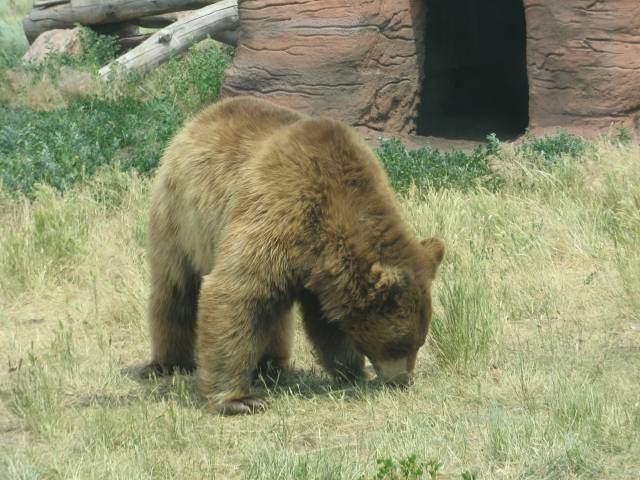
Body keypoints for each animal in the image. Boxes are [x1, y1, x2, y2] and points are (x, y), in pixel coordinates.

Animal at [144, 95, 444, 414]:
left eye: (420, 341)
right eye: (400, 343)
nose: (402, 380)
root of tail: (201, 117)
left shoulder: (322, 272)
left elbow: (326, 324)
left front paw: (353, 371)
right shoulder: (278, 213)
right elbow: (234, 291)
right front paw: (240, 399)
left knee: (273, 312)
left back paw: (271, 365)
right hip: (181, 216)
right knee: (176, 289)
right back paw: (169, 363)